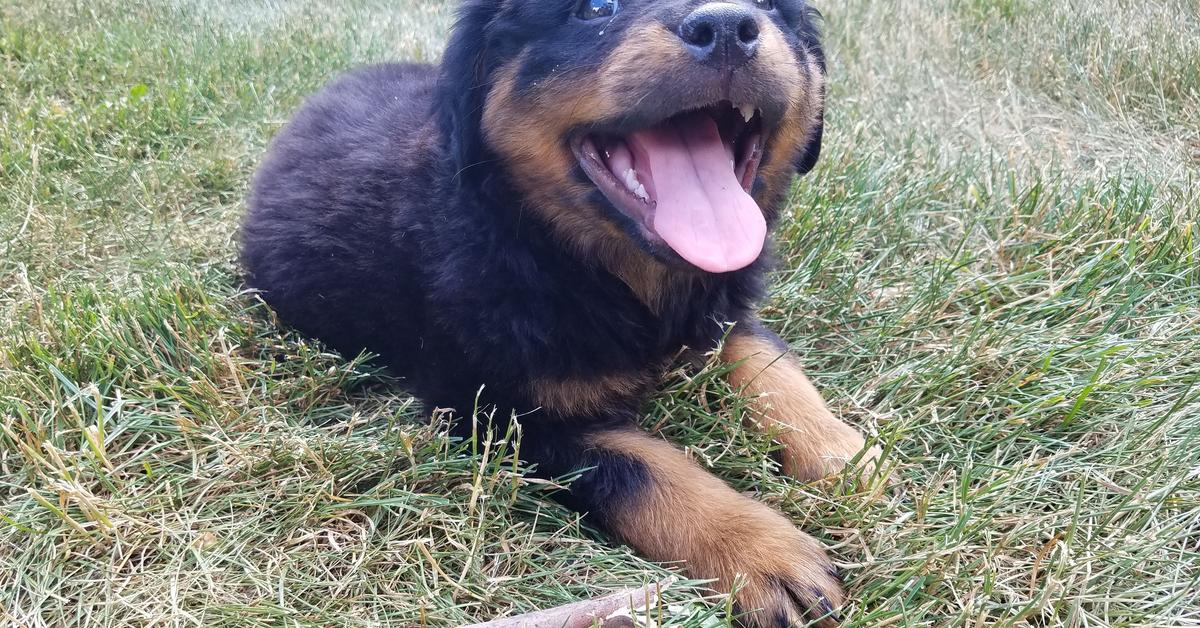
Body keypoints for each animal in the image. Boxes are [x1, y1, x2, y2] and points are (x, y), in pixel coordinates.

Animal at [243, 0, 883, 619]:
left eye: (771, 8)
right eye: (596, 10)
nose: (726, 27)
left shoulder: (722, 311)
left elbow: (771, 367)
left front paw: (843, 454)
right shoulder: (500, 415)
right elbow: (643, 471)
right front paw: (761, 554)